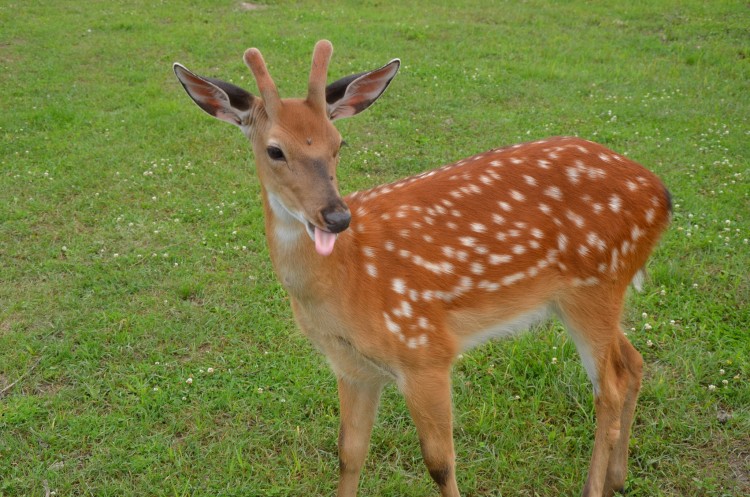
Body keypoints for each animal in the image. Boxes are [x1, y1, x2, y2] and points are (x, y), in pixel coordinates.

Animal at [173, 39, 672, 496]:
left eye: (339, 143)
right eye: (275, 150)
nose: (335, 216)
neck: (347, 283)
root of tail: (662, 196)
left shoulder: (426, 351)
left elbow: (440, 464)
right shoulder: (352, 366)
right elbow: (348, 453)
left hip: (596, 283)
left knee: (608, 389)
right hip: (588, 295)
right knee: (633, 363)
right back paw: (618, 478)